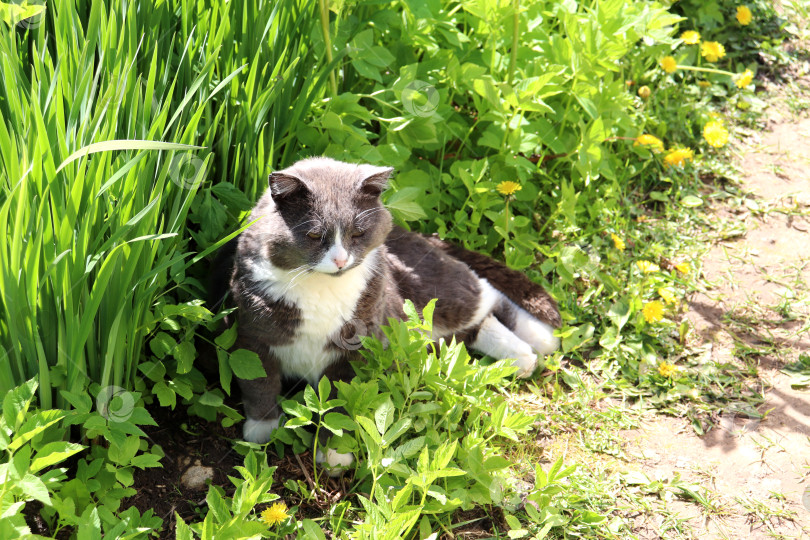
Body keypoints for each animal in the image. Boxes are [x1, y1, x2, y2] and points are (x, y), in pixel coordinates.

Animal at [224, 155, 560, 472]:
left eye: (358, 233)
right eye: (314, 236)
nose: (340, 260)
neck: (320, 287)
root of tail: (418, 235)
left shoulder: (360, 343)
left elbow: (342, 399)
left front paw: (335, 455)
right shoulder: (252, 333)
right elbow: (259, 382)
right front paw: (261, 431)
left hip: (435, 290)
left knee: (485, 294)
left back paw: (541, 339)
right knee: (473, 327)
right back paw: (525, 358)